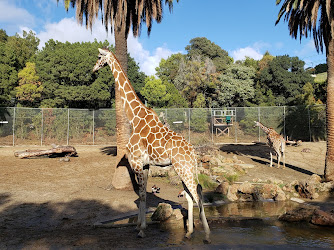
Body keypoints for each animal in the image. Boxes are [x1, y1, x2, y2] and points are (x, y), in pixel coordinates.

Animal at [92, 48, 210, 242]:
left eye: (100, 57)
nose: (94, 68)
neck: (134, 117)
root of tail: (193, 152)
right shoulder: (145, 164)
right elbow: (143, 197)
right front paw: (140, 226)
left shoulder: (136, 162)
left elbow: (141, 194)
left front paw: (141, 230)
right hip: (184, 169)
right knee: (190, 197)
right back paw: (189, 232)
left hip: (183, 168)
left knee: (197, 195)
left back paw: (207, 235)